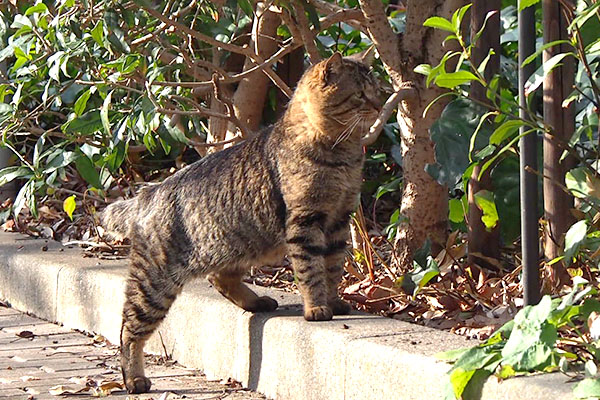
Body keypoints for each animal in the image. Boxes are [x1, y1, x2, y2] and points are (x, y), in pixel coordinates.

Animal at [99, 51, 380, 392]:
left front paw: (335, 300)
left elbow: (333, 268)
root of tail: (149, 192)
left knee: (219, 278)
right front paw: (316, 307)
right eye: (360, 95)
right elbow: (311, 270)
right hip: (154, 283)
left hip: (242, 246)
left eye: (377, 90)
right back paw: (134, 378)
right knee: (128, 329)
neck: (341, 155)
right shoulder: (306, 222)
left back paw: (255, 302)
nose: (379, 105)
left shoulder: (339, 220)